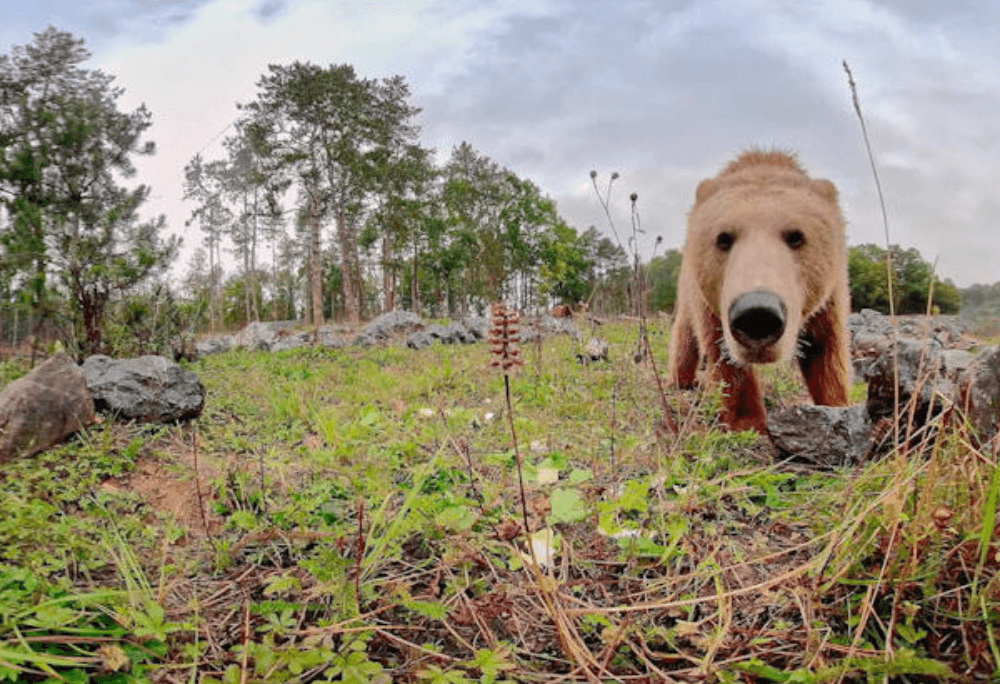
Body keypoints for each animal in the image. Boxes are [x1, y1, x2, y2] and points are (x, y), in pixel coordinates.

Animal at [667, 150, 851, 434]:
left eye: (796, 236)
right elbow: (725, 357)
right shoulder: (711, 304)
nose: (758, 315)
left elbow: (826, 351)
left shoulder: (829, 297)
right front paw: (748, 422)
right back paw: (681, 382)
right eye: (723, 238)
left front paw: (836, 406)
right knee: (685, 336)